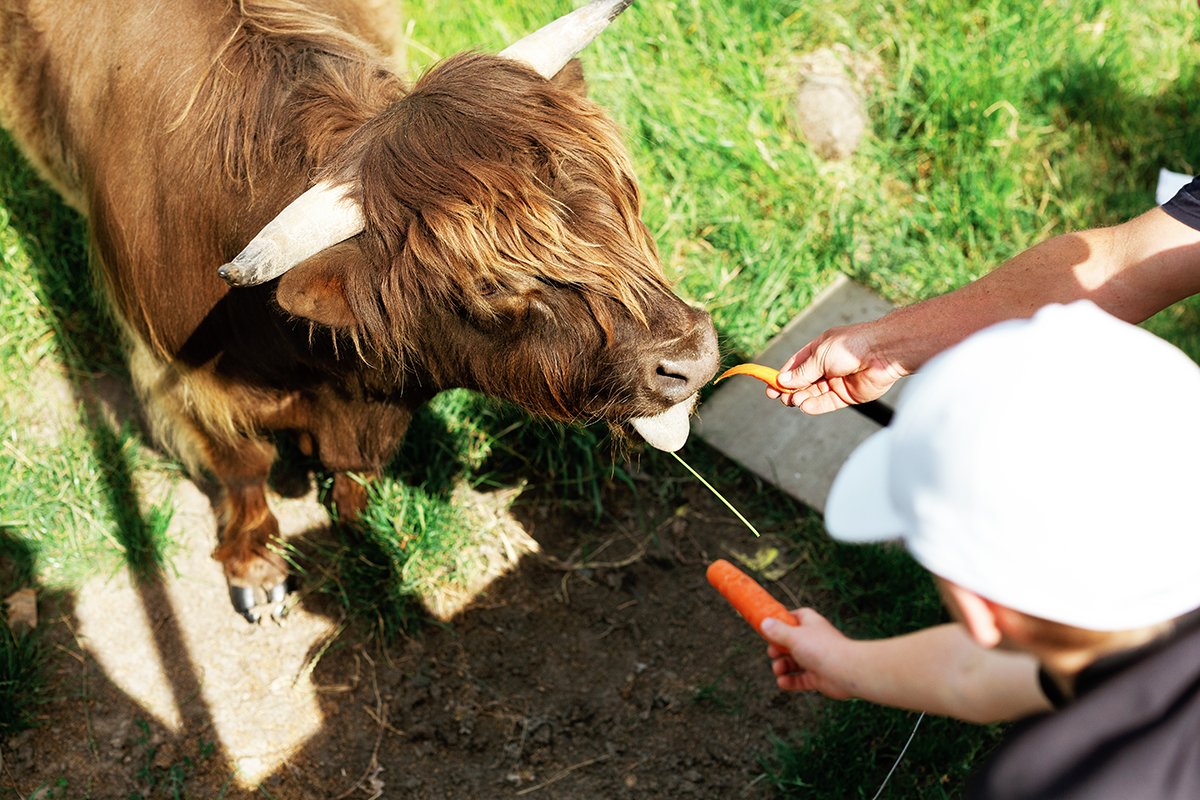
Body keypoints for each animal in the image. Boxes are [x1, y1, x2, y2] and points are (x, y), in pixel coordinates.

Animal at [0, 0, 719, 621]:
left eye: (622, 195)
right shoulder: (183, 377)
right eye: (488, 284)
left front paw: (358, 516)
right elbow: (242, 467)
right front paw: (256, 569)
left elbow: (352, 475)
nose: (693, 356)